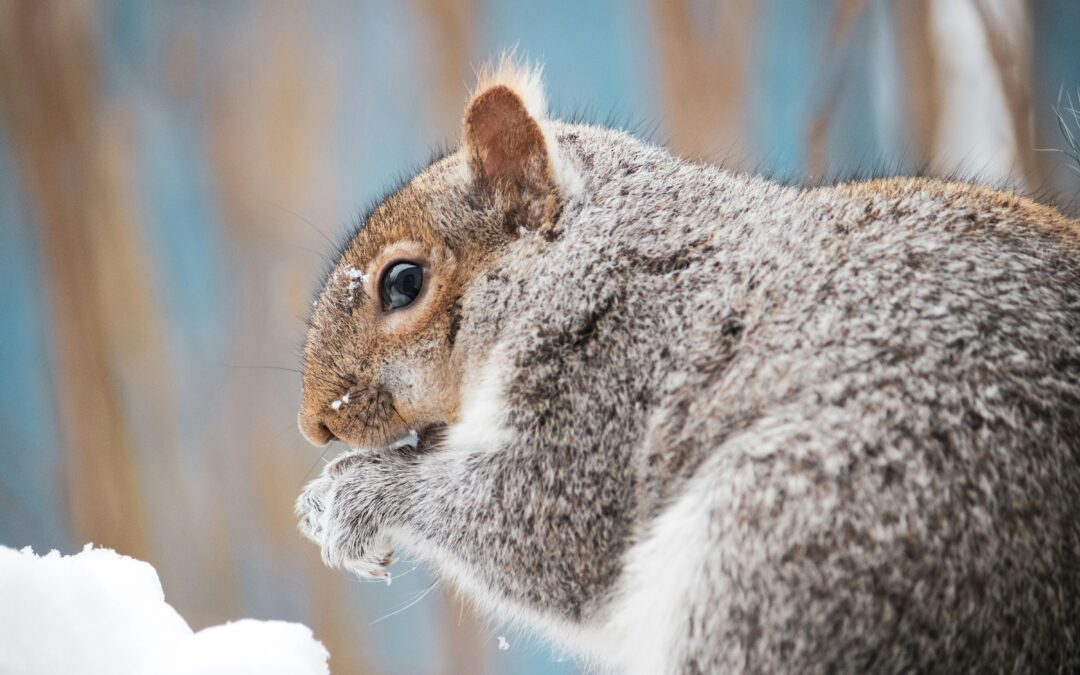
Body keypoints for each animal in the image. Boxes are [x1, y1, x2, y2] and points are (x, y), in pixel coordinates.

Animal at [295, 60, 1080, 674]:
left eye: (403, 283)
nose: (314, 426)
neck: (597, 254)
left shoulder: (619, 376)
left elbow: (543, 531)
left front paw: (357, 493)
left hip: (795, 534)